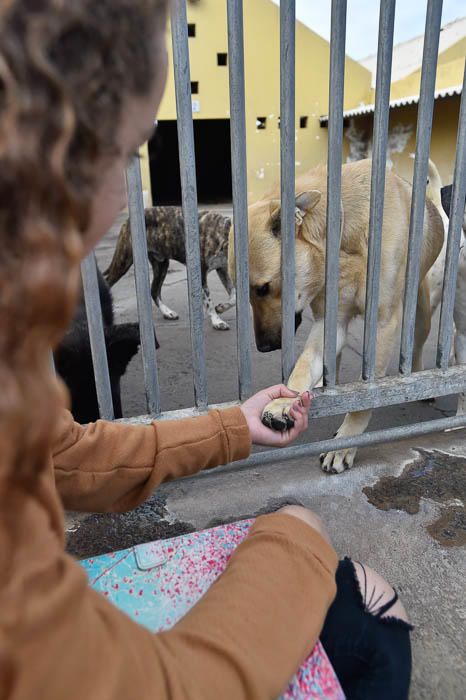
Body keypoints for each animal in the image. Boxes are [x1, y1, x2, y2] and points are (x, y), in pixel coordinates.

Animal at [106, 206, 237, 330]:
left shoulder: (222, 269)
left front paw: (221, 308)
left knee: (154, 290)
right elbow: (209, 301)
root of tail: (128, 220)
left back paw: (167, 312)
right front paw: (217, 321)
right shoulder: (202, 273)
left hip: (161, 265)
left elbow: (234, 296)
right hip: (123, 261)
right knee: (108, 282)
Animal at [229, 160, 444, 470]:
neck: (344, 233)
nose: (264, 347)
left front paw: (345, 444)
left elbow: (364, 400)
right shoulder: (332, 321)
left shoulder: (383, 325)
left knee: (416, 346)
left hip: (422, 314)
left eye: (263, 289)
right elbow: (303, 366)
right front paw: (283, 401)